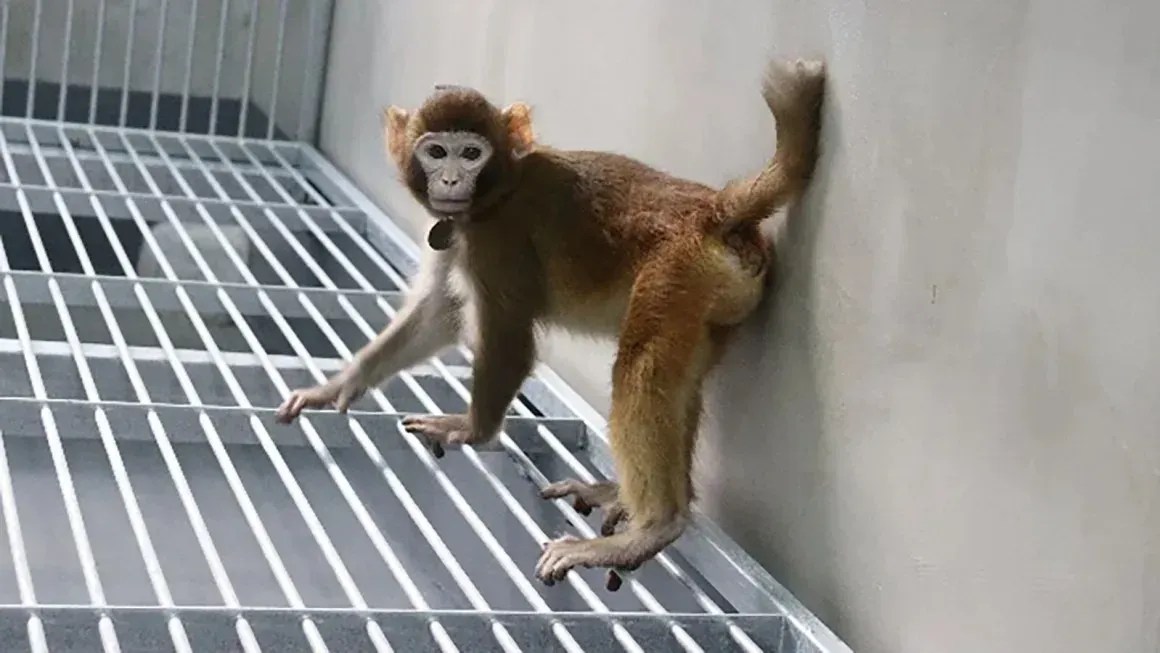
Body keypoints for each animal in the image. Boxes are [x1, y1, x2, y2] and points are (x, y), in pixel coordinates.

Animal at [274, 58, 826, 588]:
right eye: (436, 152)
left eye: (469, 154)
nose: (450, 181)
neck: (498, 191)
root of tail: (714, 210)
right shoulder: (459, 232)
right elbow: (438, 313)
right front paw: (339, 385)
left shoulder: (499, 240)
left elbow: (510, 339)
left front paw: (473, 429)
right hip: (712, 297)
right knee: (677, 380)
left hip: (676, 272)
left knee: (640, 370)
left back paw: (654, 526)